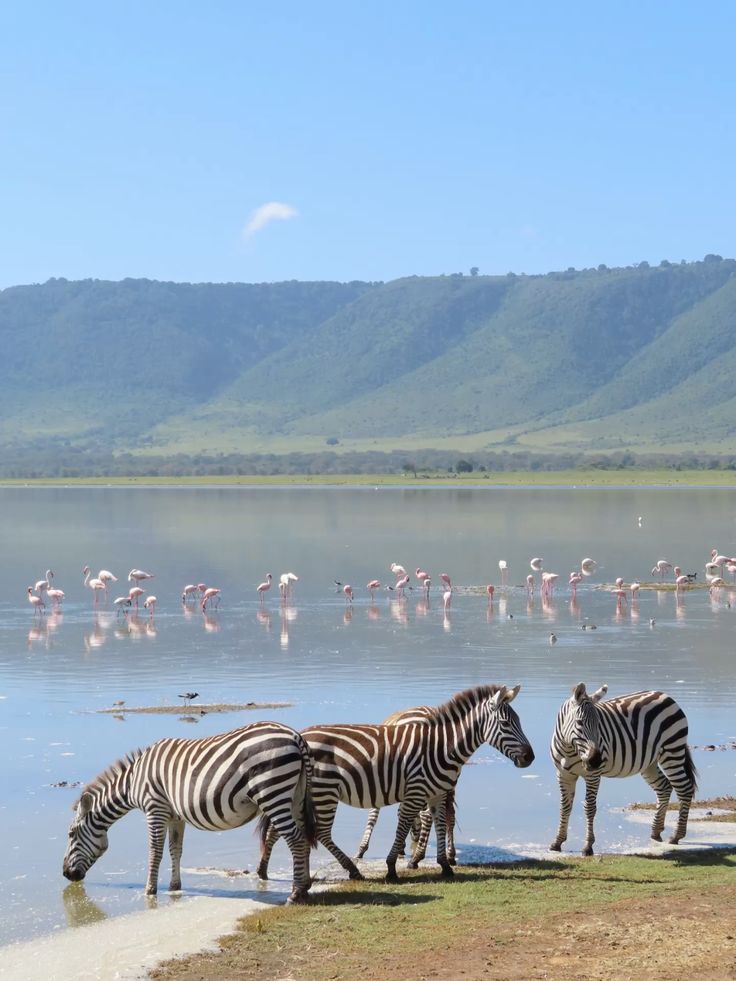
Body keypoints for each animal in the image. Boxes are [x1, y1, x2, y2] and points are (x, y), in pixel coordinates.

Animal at [62, 721, 317, 903]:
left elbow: (155, 851)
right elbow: (176, 850)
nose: (66, 874)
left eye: (71, 835)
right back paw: (305, 887)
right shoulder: (176, 816)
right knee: (304, 836)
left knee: (295, 839)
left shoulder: (155, 808)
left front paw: (149, 890)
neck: (133, 781)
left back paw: (296, 893)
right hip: (295, 797)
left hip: (272, 792)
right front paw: (175, 886)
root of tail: (295, 736)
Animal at [354, 703, 458, 867]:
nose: (413, 841)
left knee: (427, 815)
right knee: (450, 814)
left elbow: (373, 816)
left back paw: (417, 858)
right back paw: (450, 855)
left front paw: (362, 849)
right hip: (447, 780)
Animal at [550, 683, 697, 856]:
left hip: (672, 751)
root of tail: (666, 696)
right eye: (579, 722)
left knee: (684, 789)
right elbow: (565, 807)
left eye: (599, 725)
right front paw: (557, 842)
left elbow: (589, 808)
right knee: (664, 787)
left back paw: (676, 835)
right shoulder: (563, 774)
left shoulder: (593, 775)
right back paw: (656, 831)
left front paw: (588, 846)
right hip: (649, 763)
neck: (569, 750)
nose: (596, 760)